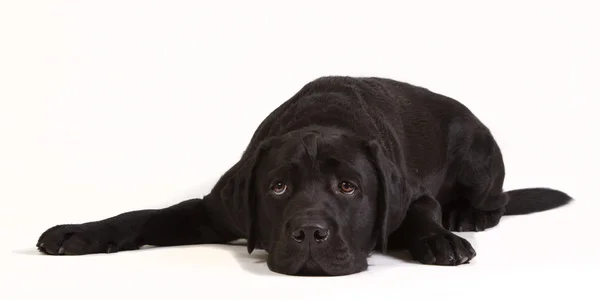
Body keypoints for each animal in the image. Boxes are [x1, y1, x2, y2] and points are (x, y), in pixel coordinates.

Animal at [35, 76, 568, 276]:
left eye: (349, 187)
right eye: (278, 187)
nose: (310, 233)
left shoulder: (414, 195)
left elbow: (422, 213)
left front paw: (438, 240)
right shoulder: (213, 209)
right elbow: (144, 215)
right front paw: (77, 233)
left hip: (478, 151)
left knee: (496, 202)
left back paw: (465, 218)